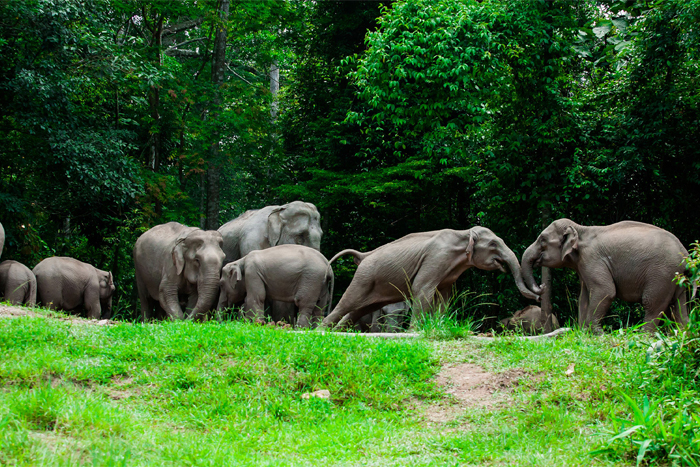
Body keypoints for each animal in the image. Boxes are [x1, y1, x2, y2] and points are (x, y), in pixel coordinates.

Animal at [320, 227, 540, 330]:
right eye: (493, 244)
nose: (540, 292)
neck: (463, 233)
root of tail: (363, 255)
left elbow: (444, 297)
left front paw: (439, 324)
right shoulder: (437, 258)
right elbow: (422, 289)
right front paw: (414, 332)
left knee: (355, 311)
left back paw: (334, 332)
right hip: (364, 278)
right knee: (346, 304)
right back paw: (319, 331)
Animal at [520, 219, 688, 332]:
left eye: (542, 240)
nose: (542, 287)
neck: (580, 229)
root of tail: (685, 252)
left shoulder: (592, 259)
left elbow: (605, 291)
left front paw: (597, 334)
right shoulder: (583, 265)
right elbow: (583, 298)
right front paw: (582, 333)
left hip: (662, 273)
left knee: (652, 304)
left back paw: (644, 336)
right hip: (675, 277)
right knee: (679, 306)